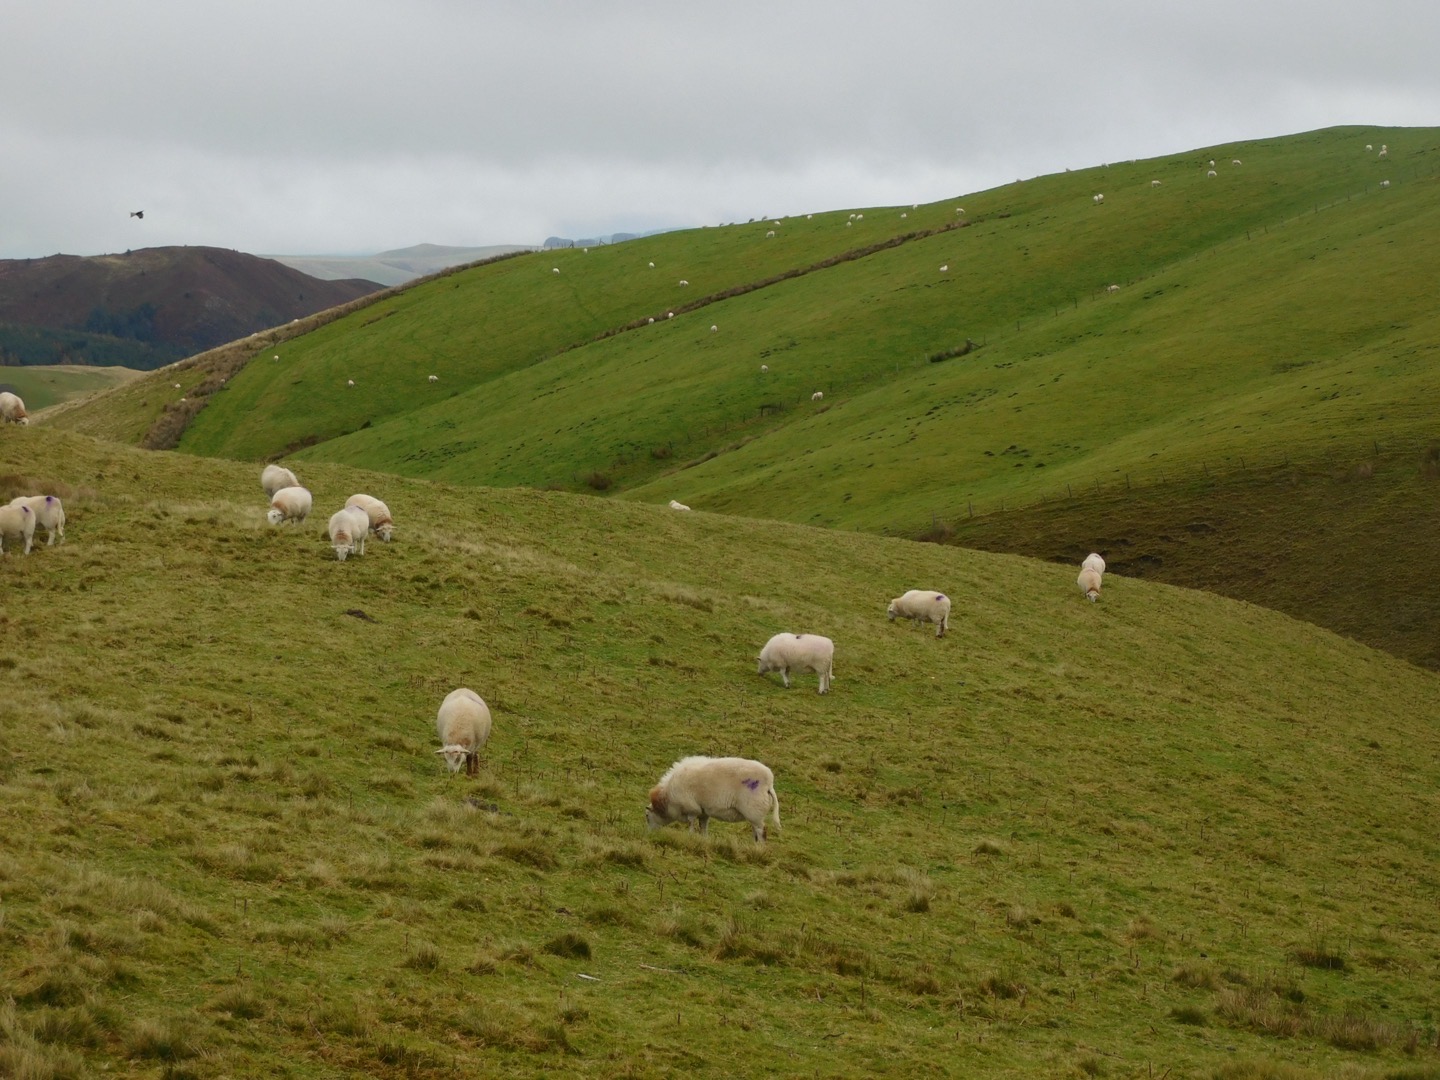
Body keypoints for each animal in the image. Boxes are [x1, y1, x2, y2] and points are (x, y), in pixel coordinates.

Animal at [645, 756, 780, 842]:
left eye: (647, 816)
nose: (649, 834)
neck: (667, 797)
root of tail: (769, 785)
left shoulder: (691, 808)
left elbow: (691, 823)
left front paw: (690, 836)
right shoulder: (703, 812)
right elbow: (703, 827)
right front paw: (704, 839)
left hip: (754, 811)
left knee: (761, 831)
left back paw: (760, 848)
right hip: (754, 814)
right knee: (756, 831)